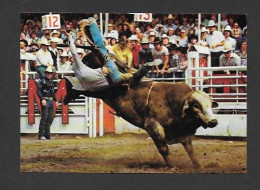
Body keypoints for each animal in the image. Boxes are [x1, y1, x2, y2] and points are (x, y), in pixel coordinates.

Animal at [64, 79, 218, 169]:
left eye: (210, 105)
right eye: (196, 105)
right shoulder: (153, 126)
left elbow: (190, 150)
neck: (176, 104)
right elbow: (163, 148)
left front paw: (198, 166)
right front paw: (171, 166)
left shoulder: (183, 133)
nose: (214, 121)